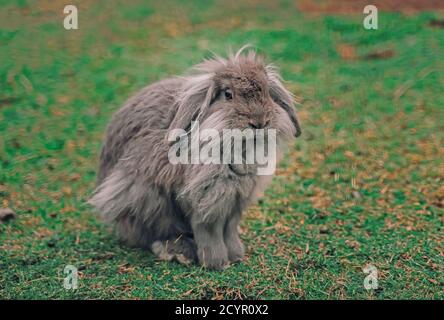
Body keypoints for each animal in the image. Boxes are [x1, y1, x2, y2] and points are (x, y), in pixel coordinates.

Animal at [88, 46, 300, 268]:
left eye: (266, 91)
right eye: (228, 94)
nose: (260, 122)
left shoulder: (235, 202)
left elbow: (229, 230)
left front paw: (236, 256)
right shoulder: (205, 202)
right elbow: (209, 231)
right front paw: (216, 263)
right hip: (145, 200)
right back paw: (178, 252)